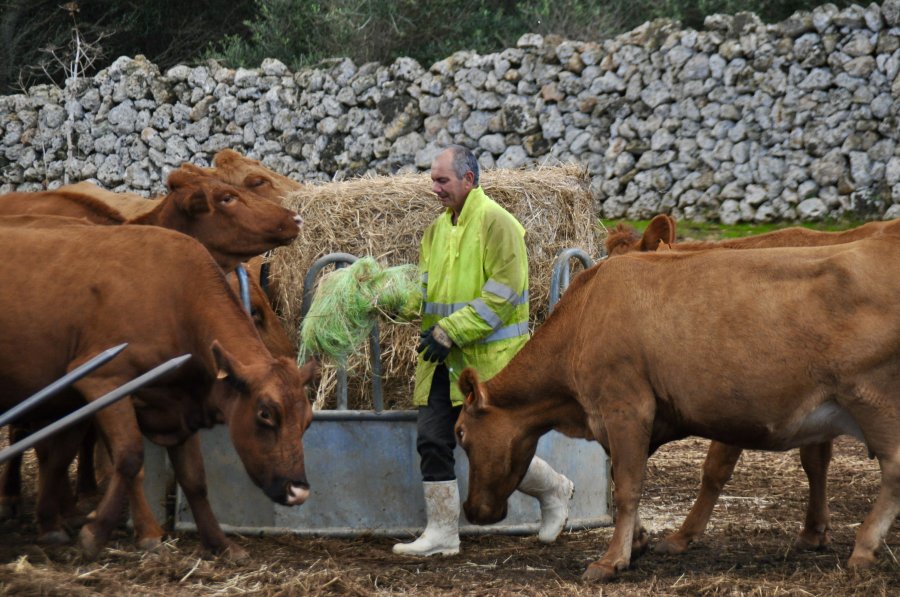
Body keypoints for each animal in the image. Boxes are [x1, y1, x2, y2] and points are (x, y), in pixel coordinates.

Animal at [0, 224, 320, 560]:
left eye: (307, 421)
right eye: (265, 413)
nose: (298, 491)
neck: (175, 299)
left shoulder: (183, 407)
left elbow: (194, 480)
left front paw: (220, 543)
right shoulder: (104, 382)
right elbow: (129, 458)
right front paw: (96, 532)